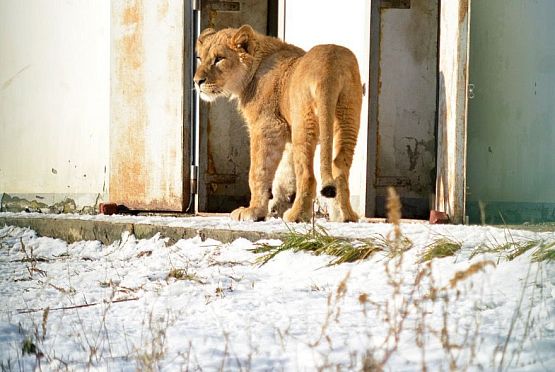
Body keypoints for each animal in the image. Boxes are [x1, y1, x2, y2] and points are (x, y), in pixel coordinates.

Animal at [193, 25, 362, 224]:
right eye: (200, 58)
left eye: (219, 58)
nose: (197, 82)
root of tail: (330, 65)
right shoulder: (285, 135)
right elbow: (285, 175)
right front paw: (276, 206)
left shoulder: (267, 126)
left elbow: (258, 171)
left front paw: (253, 211)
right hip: (348, 120)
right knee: (340, 170)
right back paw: (344, 216)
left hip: (303, 124)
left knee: (307, 175)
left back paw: (297, 216)